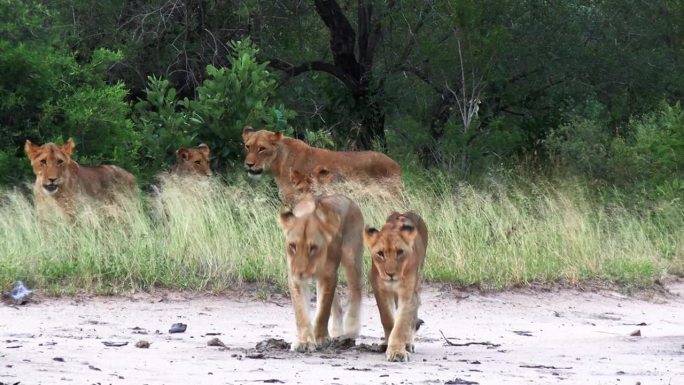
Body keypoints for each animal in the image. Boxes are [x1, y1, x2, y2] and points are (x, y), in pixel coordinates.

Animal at [242, 126, 400, 204]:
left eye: (261, 148)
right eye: (247, 146)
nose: (248, 164)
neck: (278, 164)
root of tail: (395, 163)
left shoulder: (295, 198)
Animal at [276, 194, 366, 352]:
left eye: (313, 248)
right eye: (292, 246)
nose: (299, 273)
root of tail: (350, 200)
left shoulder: (329, 275)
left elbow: (323, 311)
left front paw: (320, 339)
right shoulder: (295, 279)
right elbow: (301, 312)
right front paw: (304, 342)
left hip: (352, 259)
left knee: (356, 291)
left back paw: (351, 330)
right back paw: (336, 332)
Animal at [364, 210, 428, 360]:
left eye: (400, 252)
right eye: (380, 254)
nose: (390, 274)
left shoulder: (407, 293)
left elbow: (401, 324)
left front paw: (397, 351)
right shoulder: (380, 289)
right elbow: (387, 318)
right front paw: (388, 344)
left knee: (412, 317)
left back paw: (408, 344)